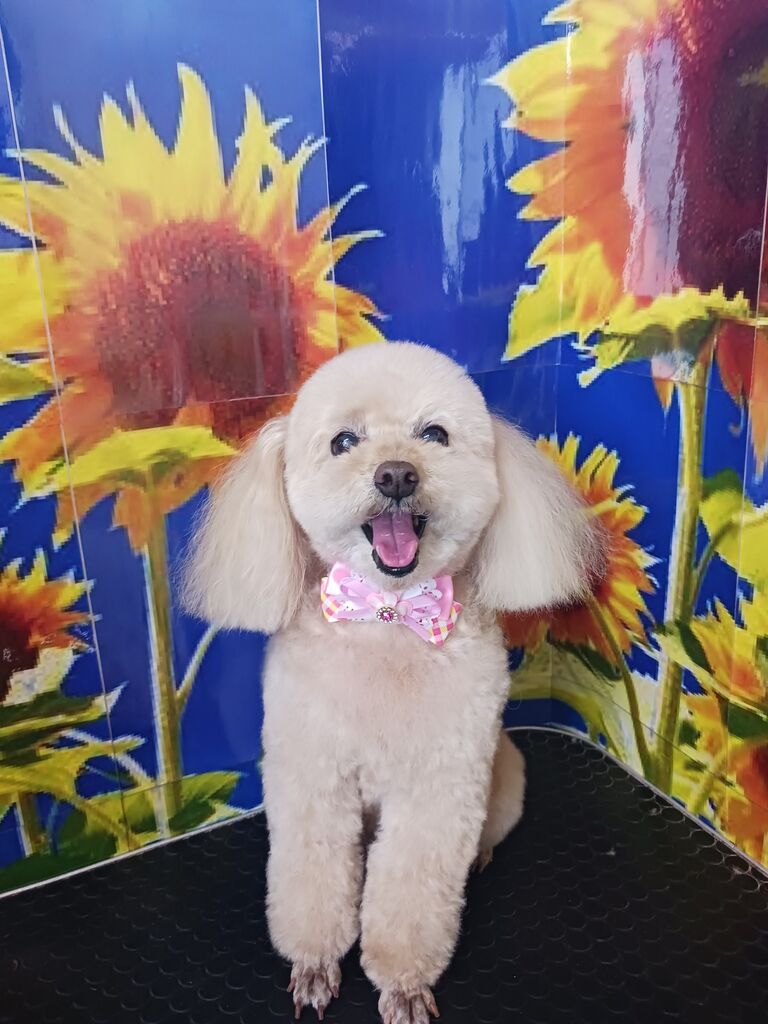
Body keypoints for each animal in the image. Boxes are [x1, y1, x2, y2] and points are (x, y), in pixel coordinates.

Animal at [185, 342, 598, 1024]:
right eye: (343, 441)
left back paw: (481, 854)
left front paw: (403, 985)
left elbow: (412, 891)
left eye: (434, 434)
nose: (396, 475)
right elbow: (312, 880)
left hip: (505, 774)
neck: (388, 618)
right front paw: (315, 965)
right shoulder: (312, 776)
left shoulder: (440, 787)